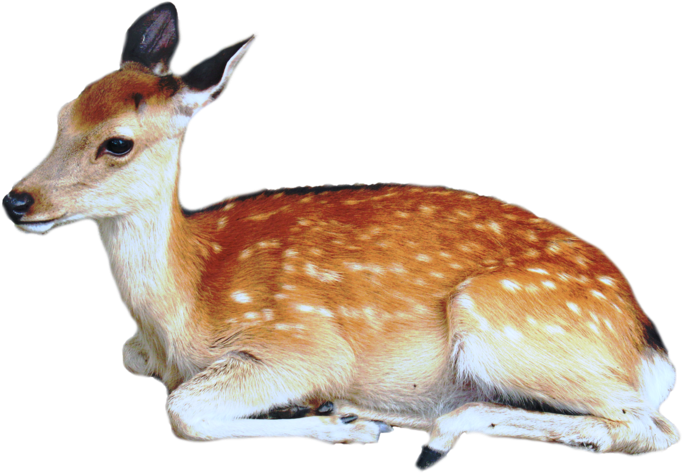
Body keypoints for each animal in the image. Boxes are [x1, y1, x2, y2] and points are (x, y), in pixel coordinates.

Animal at [2, 2, 679, 471]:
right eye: (61, 115)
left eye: (118, 142)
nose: (17, 200)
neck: (179, 309)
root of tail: (650, 344)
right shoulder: (145, 351)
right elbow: (133, 360)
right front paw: (334, 417)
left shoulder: (300, 344)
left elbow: (182, 411)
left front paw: (338, 427)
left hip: (501, 321)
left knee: (647, 428)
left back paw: (417, 432)